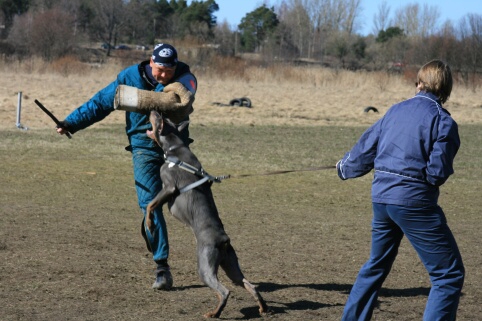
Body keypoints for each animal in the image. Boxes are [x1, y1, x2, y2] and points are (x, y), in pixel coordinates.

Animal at [145, 111, 270, 316]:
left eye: (158, 119)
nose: (154, 111)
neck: (175, 148)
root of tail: (223, 240)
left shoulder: (169, 187)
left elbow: (150, 205)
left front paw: (149, 224)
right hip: (231, 265)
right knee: (249, 284)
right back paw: (263, 308)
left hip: (205, 265)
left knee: (224, 291)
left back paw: (214, 313)